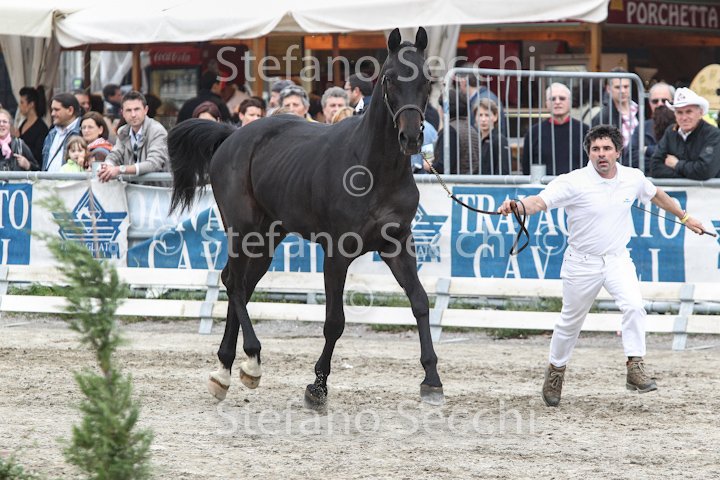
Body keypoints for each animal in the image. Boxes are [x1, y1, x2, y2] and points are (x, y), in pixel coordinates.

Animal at [168, 27, 444, 407]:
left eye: (427, 80)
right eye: (388, 78)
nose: (412, 137)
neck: (374, 169)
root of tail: (232, 135)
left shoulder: (397, 245)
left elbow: (419, 302)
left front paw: (432, 379)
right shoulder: (337, 253)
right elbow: (334, 321)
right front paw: (318, 386)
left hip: (268, 238)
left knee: (241, 284)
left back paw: (225, 370)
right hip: (242, 230)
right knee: (233, 282)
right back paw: (251, 360)